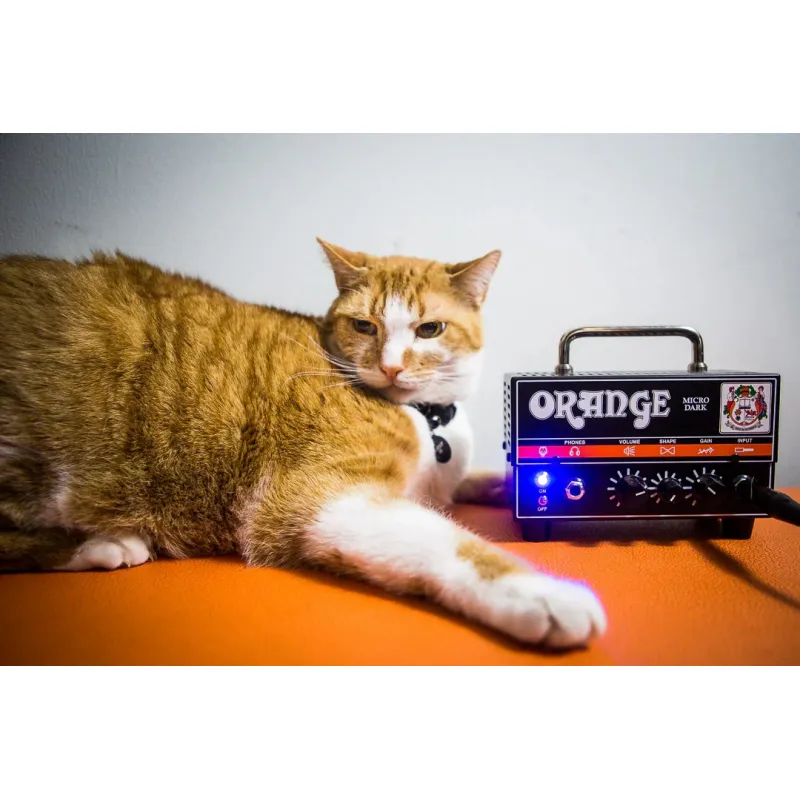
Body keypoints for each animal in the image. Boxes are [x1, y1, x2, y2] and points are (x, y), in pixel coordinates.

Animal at [0, 242, 606, 648]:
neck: (429, 418)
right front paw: (541, 594)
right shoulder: (320, 496)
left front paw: (505, 481)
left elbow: (474, 483)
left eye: (429, 330)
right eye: (364, 326)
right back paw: (105, 545)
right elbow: (447, 539)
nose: (391, 366)